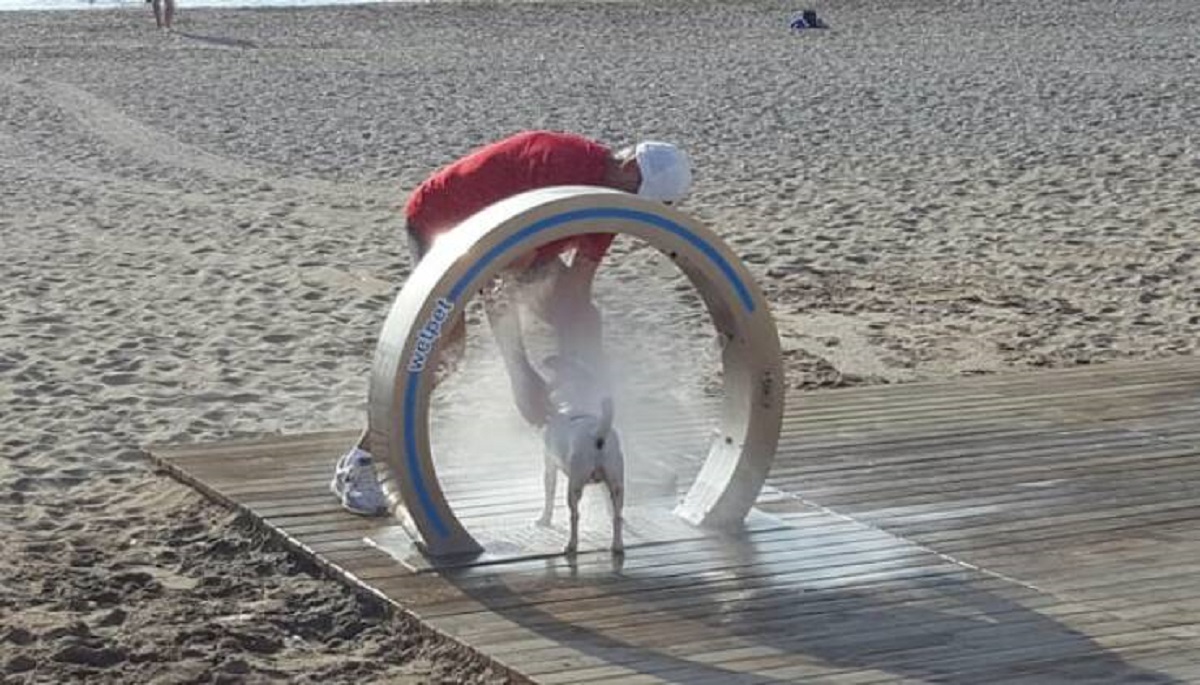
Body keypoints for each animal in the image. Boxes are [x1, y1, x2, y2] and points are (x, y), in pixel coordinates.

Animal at [537, 357, 624, 554]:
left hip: (574, 486)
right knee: (617, 516)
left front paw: (544, 520)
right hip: (617, 484)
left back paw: (571, 545)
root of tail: (597, 435)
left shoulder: (549, 464)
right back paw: (617, 545)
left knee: (575, 516)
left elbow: (549, 496)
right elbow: (609, 507)